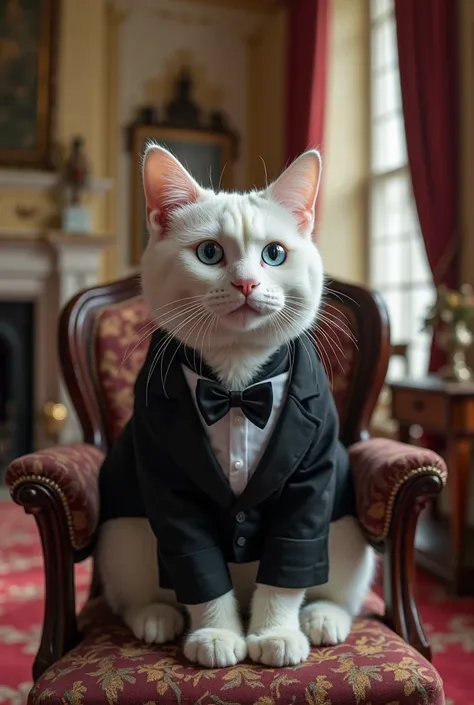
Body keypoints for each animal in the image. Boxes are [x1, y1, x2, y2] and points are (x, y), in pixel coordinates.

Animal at [97, 144, 378, 664]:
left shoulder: (311, 481)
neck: (237, 386)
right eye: (209, 252)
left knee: (339, 590)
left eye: (274, 254)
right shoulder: (165, 479)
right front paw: (218, 635)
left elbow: (289, 562)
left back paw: (322, 618)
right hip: (123, 533)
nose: (247, 284)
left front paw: (275, 634)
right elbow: (198, 564)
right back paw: (156, 617)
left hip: (349, 533)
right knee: (135, 593)